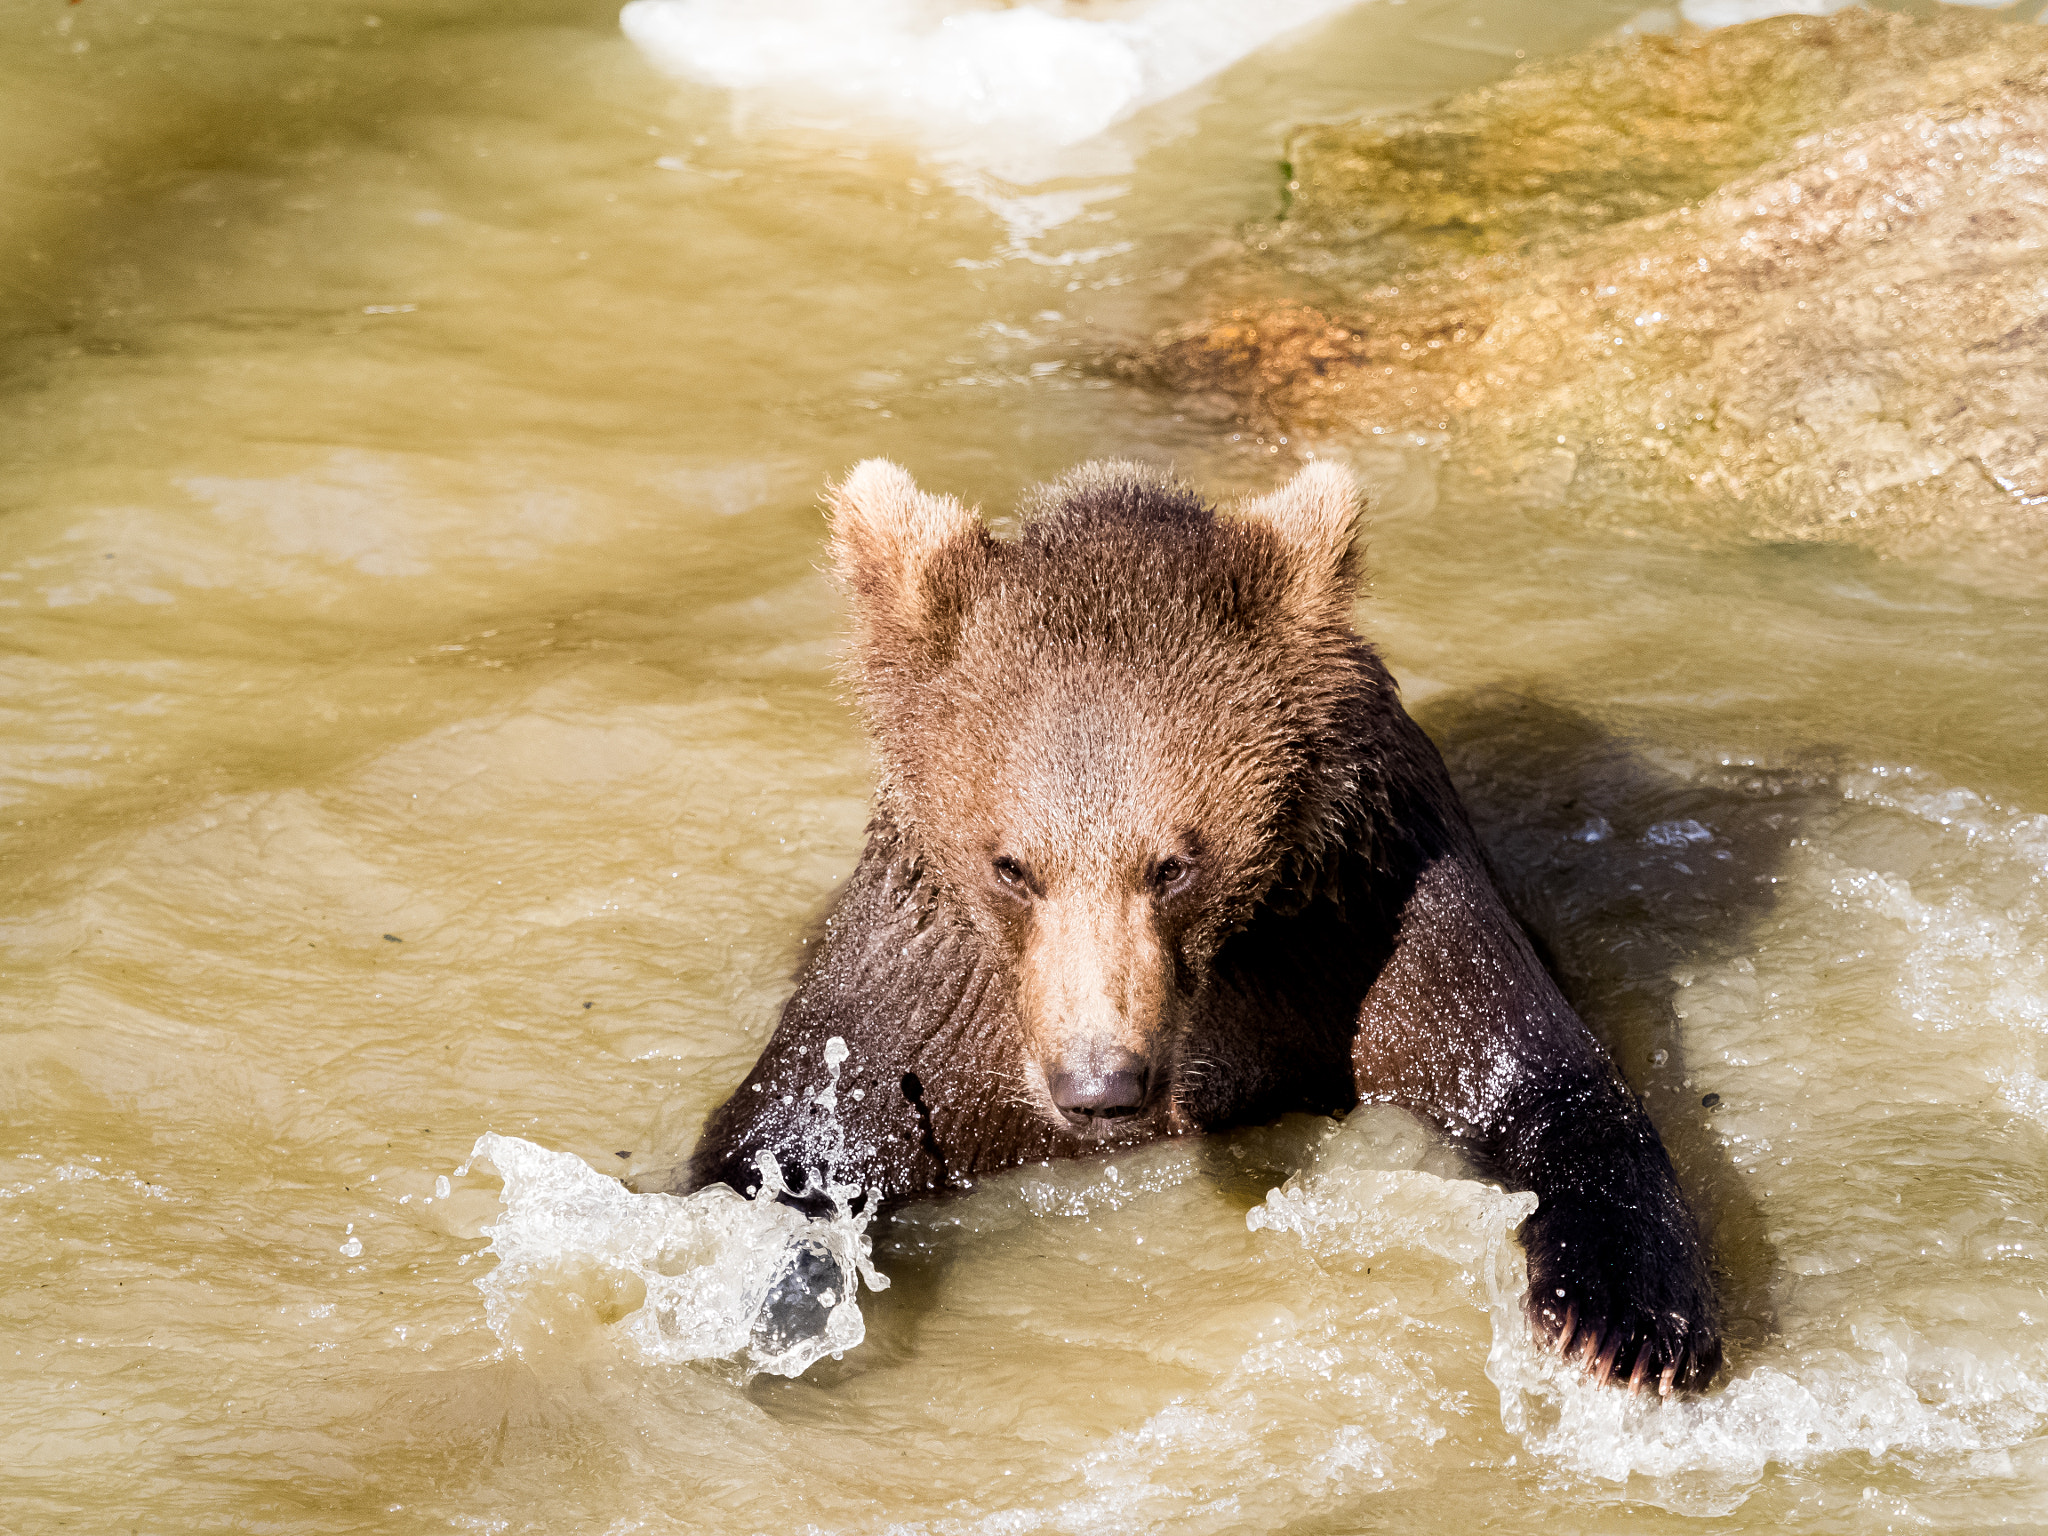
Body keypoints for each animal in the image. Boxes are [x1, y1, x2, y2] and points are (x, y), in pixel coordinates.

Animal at [688, 456, 1728, 1392]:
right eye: (1011, 866)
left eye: (1173, 864)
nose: (1101, 1085)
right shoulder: (921, 990)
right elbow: (789, 1146)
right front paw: (776, 1296)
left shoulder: (1362, 917)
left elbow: (1538, 1076)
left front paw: (1624, 1322)